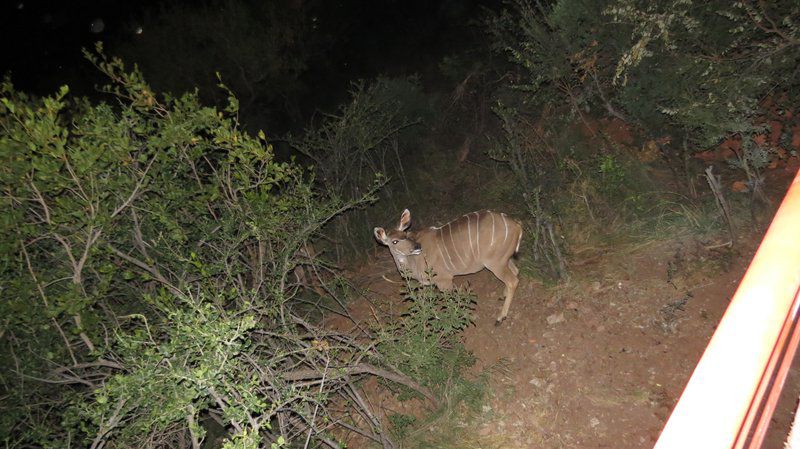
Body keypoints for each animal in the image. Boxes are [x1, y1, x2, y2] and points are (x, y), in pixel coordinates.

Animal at [372, 208, 520, 324]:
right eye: (395, 241)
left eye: (405, 234)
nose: (417, 246)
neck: (414, 261)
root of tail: (517, 225)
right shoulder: (426, 283)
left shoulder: (444, 280)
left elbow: (449, 302)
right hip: (504, 259)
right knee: (516, 271)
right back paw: (502, 296)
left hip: (495, 262)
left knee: (512, 281)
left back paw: (500, 318)